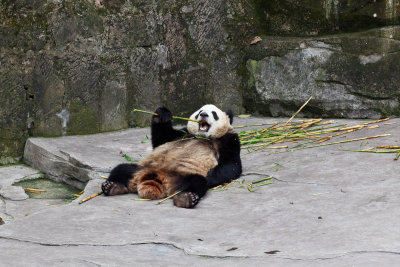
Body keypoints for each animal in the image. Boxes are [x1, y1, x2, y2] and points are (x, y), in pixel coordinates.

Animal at [101, 104, 242, 209]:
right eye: (200, 112)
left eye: (214, 113)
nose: (203, 115)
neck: (203, 137)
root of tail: (156, 178)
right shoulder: (182, 133)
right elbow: (161, 139)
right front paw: (162, 114)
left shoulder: (229, 140)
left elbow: (232, 165)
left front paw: (211, 176)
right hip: (139, 169)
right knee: (121, 169)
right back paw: (112, 187)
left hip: (181, 177)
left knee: (198, 182)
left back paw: (186, 198)